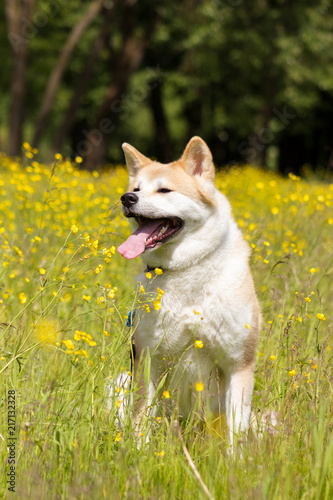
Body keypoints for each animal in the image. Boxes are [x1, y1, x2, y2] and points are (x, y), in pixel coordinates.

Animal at [116, 136, 260, 442]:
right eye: (136, 189)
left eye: (164, 190)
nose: (127, 198)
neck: (187, 268)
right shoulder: (147, 358)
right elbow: (140, 420)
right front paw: (137, 451)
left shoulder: (238, 364)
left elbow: (235, 434)